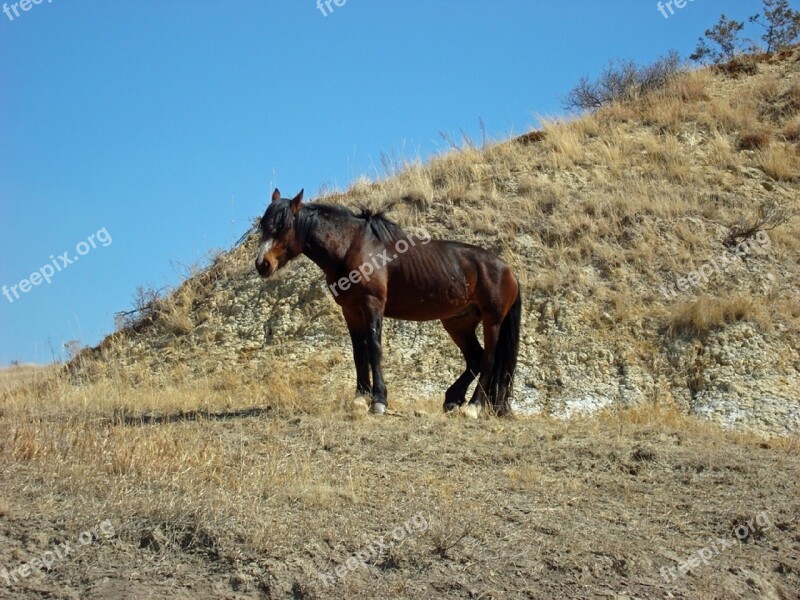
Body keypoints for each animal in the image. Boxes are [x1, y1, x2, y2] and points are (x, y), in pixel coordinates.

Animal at [253, 189, 520, 418]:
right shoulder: (351, 311)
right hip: (458, 323)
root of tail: (508, 270)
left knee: (488, 360)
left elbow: (374, 349)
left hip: (492, 320)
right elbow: (359, 353)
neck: (353, 247)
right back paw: (453, 399)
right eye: (263, 226)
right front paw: (360, 398)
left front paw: (378, 400)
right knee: (475, 358)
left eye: (284, 226)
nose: (262, 264)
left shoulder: (372, 306)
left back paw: (473, 407)